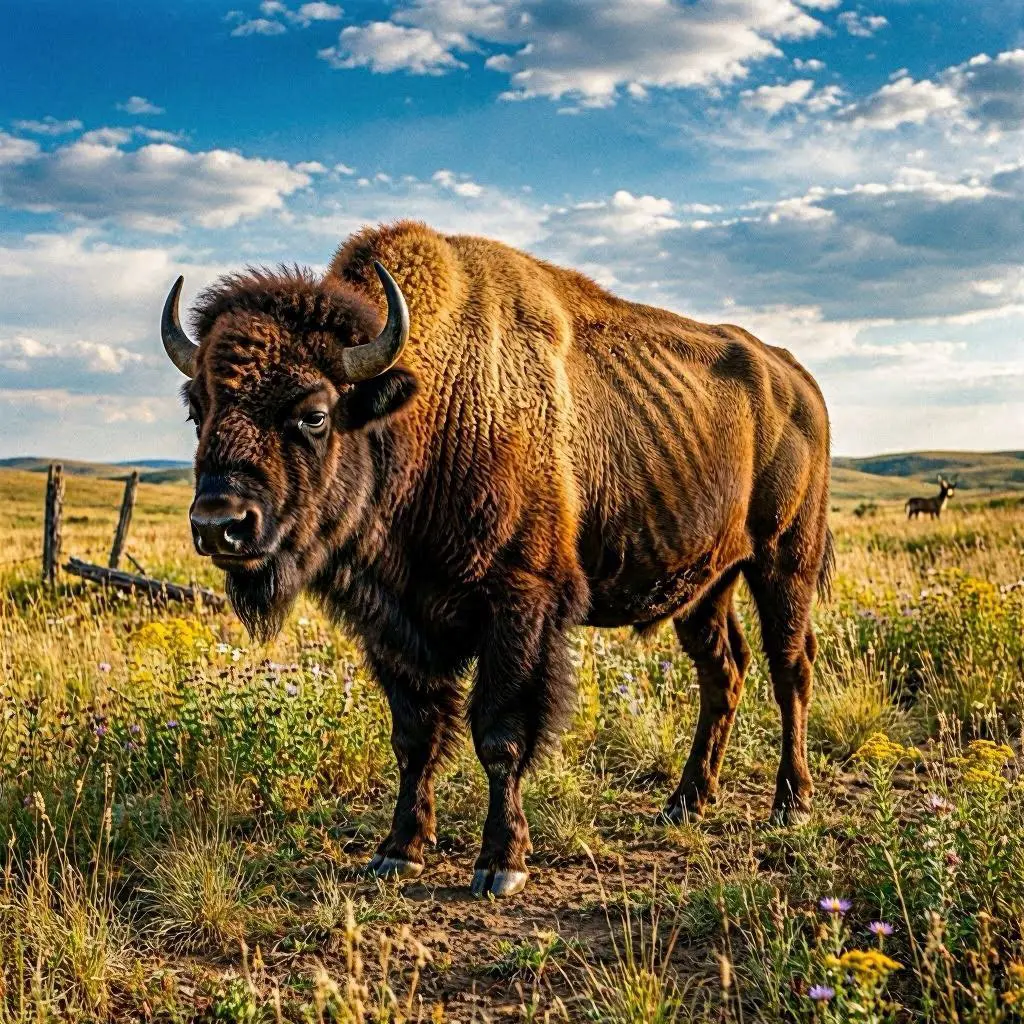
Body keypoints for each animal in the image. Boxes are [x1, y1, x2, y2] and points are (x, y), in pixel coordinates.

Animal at [160, 221, 833, 897]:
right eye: (196, 409)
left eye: (315, 414)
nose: (219, 524)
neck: (428, 403)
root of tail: (799, 381)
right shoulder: (396, 626)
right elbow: (415, 735)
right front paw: (399, 850)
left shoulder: (519, 606)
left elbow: (499, 734)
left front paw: (501, 863)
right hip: (706, 585)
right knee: (724, 671)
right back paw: (687, 802)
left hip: (784, 563)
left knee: (790, 668)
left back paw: (791, 803)